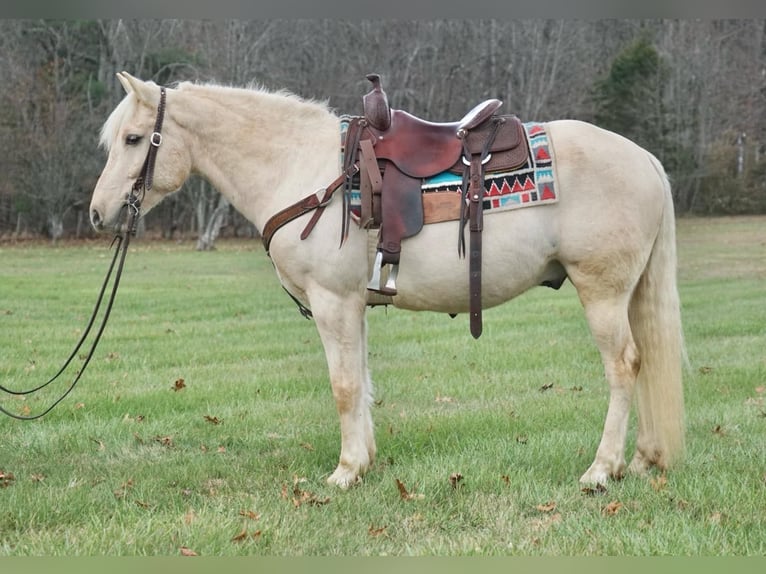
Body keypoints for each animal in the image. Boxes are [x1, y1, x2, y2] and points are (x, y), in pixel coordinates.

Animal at [89, 72, 684, 488]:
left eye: (135, 139)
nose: (99, 213)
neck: (300, 167)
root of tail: (645, 159)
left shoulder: (332, 303)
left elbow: (344, 385)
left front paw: (345, 471)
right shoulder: (353, 306)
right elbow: (361, 381)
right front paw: (365, 461)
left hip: (602, 293)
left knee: (624, 366)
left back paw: (602, 469)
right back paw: (643, 459)